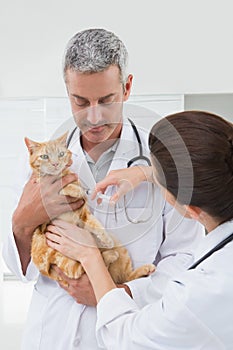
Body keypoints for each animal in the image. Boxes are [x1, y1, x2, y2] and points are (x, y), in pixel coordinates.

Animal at [25, 131, 156, 284]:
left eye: (61, 154)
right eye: (45, 156)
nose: (55, 163)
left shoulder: (84, 214)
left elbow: (96, 224)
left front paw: (106, 239)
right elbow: (63, 187)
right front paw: (77, 190)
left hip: (120, 248)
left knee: (120, 278)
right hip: (60, 256)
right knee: (82, 270)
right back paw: (110, 255)